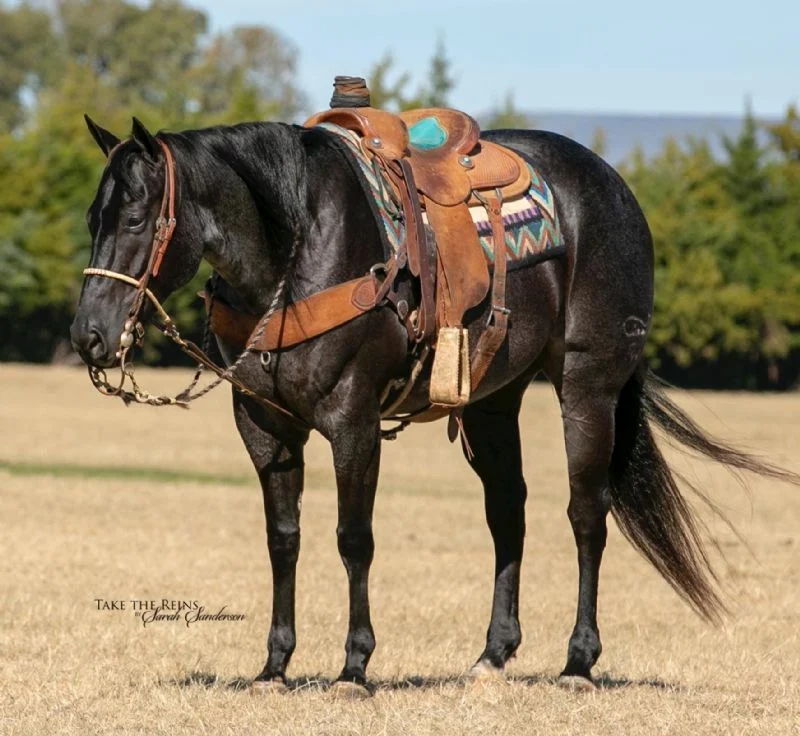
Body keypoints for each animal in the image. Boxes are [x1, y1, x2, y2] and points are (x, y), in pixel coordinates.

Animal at [70, 114, 794, 695]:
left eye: (134, 218)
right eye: (91, 219)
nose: (89, 336)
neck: (298, 249)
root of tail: (614, 187)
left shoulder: (353, 422)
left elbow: (353, 539)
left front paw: (353, 668)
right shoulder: (264, 428)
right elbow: (283, 539)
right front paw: (274, 667)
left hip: (588, 388)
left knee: (588, 515)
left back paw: (577, 663)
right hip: (492, 405)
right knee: (508, 515)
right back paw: (493, 656)